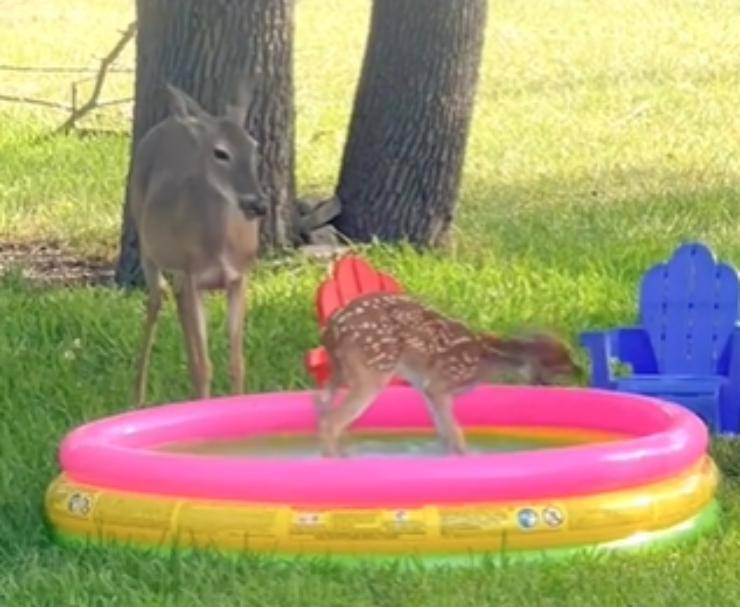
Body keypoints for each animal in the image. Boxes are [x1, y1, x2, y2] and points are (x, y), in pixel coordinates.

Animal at [132, 81, 268, 404]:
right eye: (221, 153)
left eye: (255, 149)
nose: (257, 204)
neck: (219, 247)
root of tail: (171, 121)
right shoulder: (193, 275)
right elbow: (205, 366)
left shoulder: (238, 277)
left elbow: (236, 362)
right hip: (148, 245)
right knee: (156, 300)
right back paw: (138, 396)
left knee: (177, 302)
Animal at [316, 294, 580, 456]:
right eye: (562, 362)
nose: (581, 369)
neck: (484, 359)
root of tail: (331, 330)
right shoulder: (440, 385)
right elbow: (456, 434)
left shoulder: (425, 387)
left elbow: (444, 434)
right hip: (373, 372)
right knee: (331, 422)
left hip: (339, 371)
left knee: (323, 406)